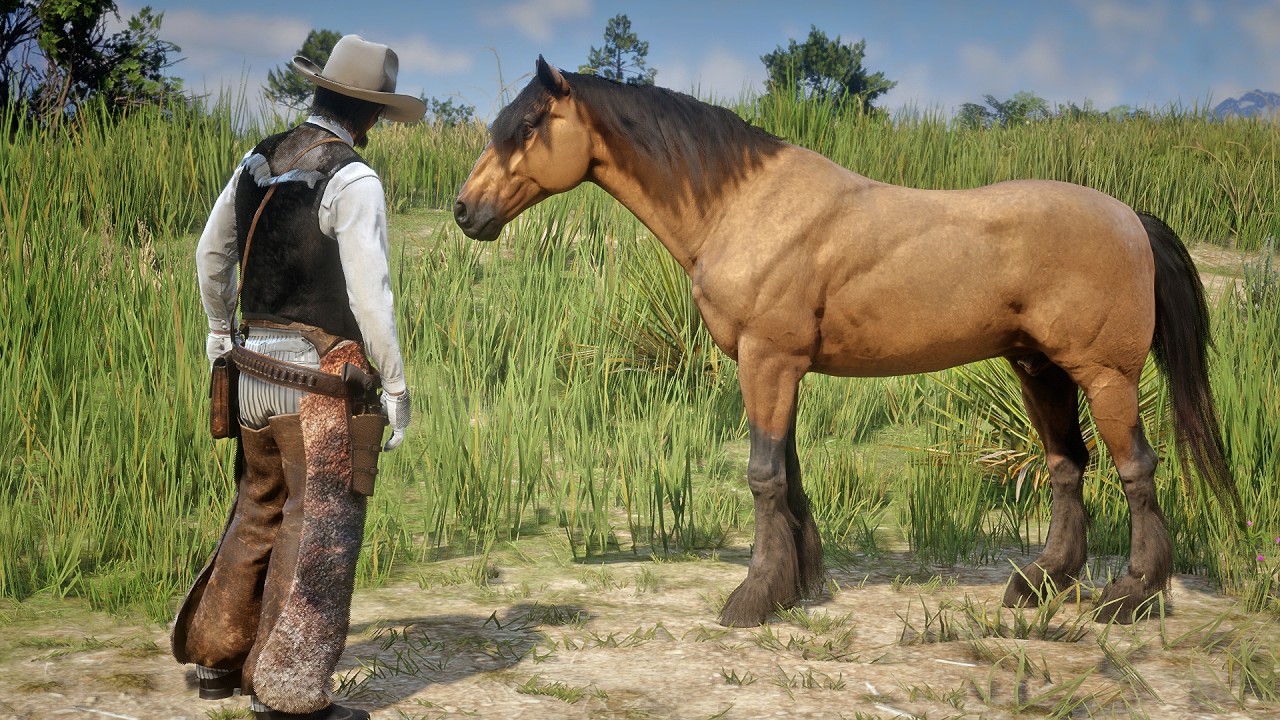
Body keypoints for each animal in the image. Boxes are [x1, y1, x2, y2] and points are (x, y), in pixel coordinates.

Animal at [453, 57, 1236, 627]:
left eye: (528, 125)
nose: (466, 211)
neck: (744, 205)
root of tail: (1130, 218)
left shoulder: (767, 361)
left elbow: (763, 477)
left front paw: (753, 597)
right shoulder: (780, 367)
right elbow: (788, 474)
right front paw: (797, 584)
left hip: (1104, 375)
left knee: (1137, 469)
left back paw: (1130, 596)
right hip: (1038, 369)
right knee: (1067, 467)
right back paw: (1039, 584)